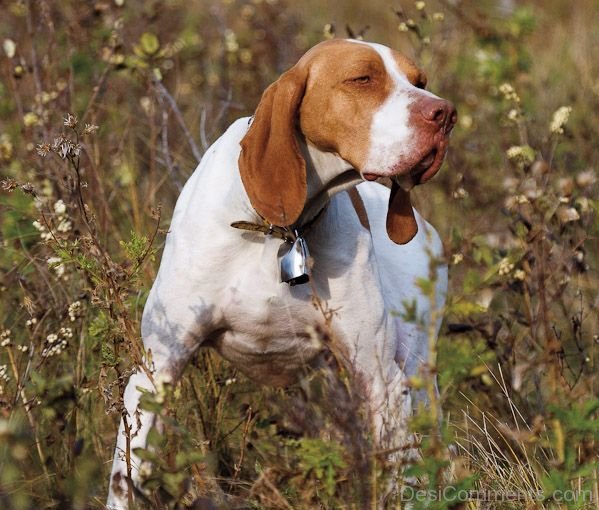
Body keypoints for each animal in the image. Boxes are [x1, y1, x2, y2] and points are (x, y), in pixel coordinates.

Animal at [108, 37, 458, 508]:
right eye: (362, 78)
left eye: (420, 81)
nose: (445, 114)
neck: (280, 229)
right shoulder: (158, 369)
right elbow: (124, 479)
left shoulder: (380, 381)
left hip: (412, 380)